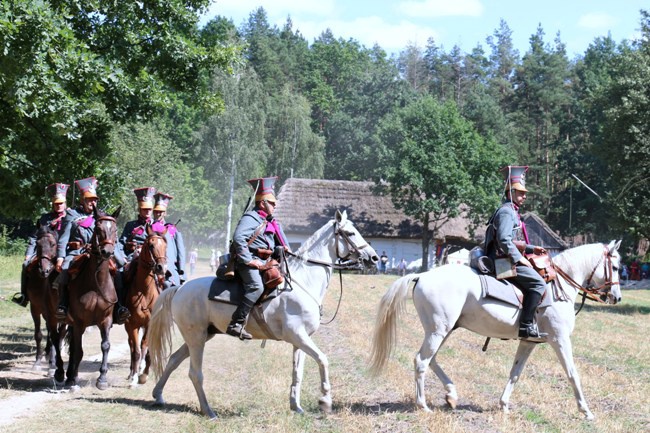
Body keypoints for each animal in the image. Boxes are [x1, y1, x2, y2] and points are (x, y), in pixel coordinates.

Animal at [24, 224, 66, 372]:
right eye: (37, 244)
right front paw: (37, 361)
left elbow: (58, 334)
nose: (44, 271)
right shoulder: (35, 307)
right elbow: (39, 334)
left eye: (53, 244)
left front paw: (53, 364)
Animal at [63, 206, 120, 388]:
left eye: (115, 229)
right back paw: (63, 374)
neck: (96, 284)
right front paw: (73, 379)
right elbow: (78, 350)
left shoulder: (105, 319)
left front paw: (102, 378)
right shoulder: (79, 322)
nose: (107, 252)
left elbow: (106, 345)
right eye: (98, 229)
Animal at [123, 223, 166, 384]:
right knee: (131, 346)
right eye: (151, 245)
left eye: (165, 245)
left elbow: (146, 347)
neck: (145, 292)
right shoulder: (131, 324)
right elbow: (136, 351)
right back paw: (131, 372)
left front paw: (144, 374)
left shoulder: (150, 324)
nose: (161, 268)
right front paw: (134, 377)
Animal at [149, 209, 378, 418]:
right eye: (350, 232)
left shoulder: (301, 340)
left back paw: (158, 395)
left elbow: (298, 373)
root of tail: (180, 288)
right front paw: (325, 400)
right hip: (196, 337)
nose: (374, 258)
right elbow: (323, 359)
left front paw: (296, 406)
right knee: (195, 373)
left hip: (203, 335)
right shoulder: (297, 335)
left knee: (173, 359)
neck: (303, 282)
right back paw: (208, 411)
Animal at [370, 240, 616, 418]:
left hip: (443, 331)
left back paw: (451, 395)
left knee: (432, 360)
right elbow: (572, 373)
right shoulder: (560, 340)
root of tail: (422, 275)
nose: (616, 297)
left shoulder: (528, 342)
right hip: (438, 331)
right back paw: (423, 405)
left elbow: (515, 373)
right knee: (422, 361)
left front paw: (504, 404)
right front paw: (586, 410)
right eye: (614, 266)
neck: (558, 286)